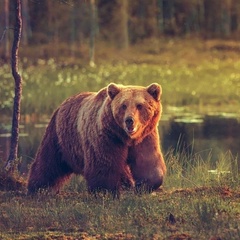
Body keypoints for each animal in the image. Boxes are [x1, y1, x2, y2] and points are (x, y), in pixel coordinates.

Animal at [27, 83, 166, 197]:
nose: (129, 120)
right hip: (60, 137)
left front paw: (144, 184)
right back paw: (38, 187)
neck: (125, 137)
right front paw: (106, 191)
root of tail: (62, 104)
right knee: (48, 161)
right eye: (123, 105)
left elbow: (147, 162)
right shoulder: (106, 137)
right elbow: (103, 165)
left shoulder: (145, 137)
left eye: (139, 105)